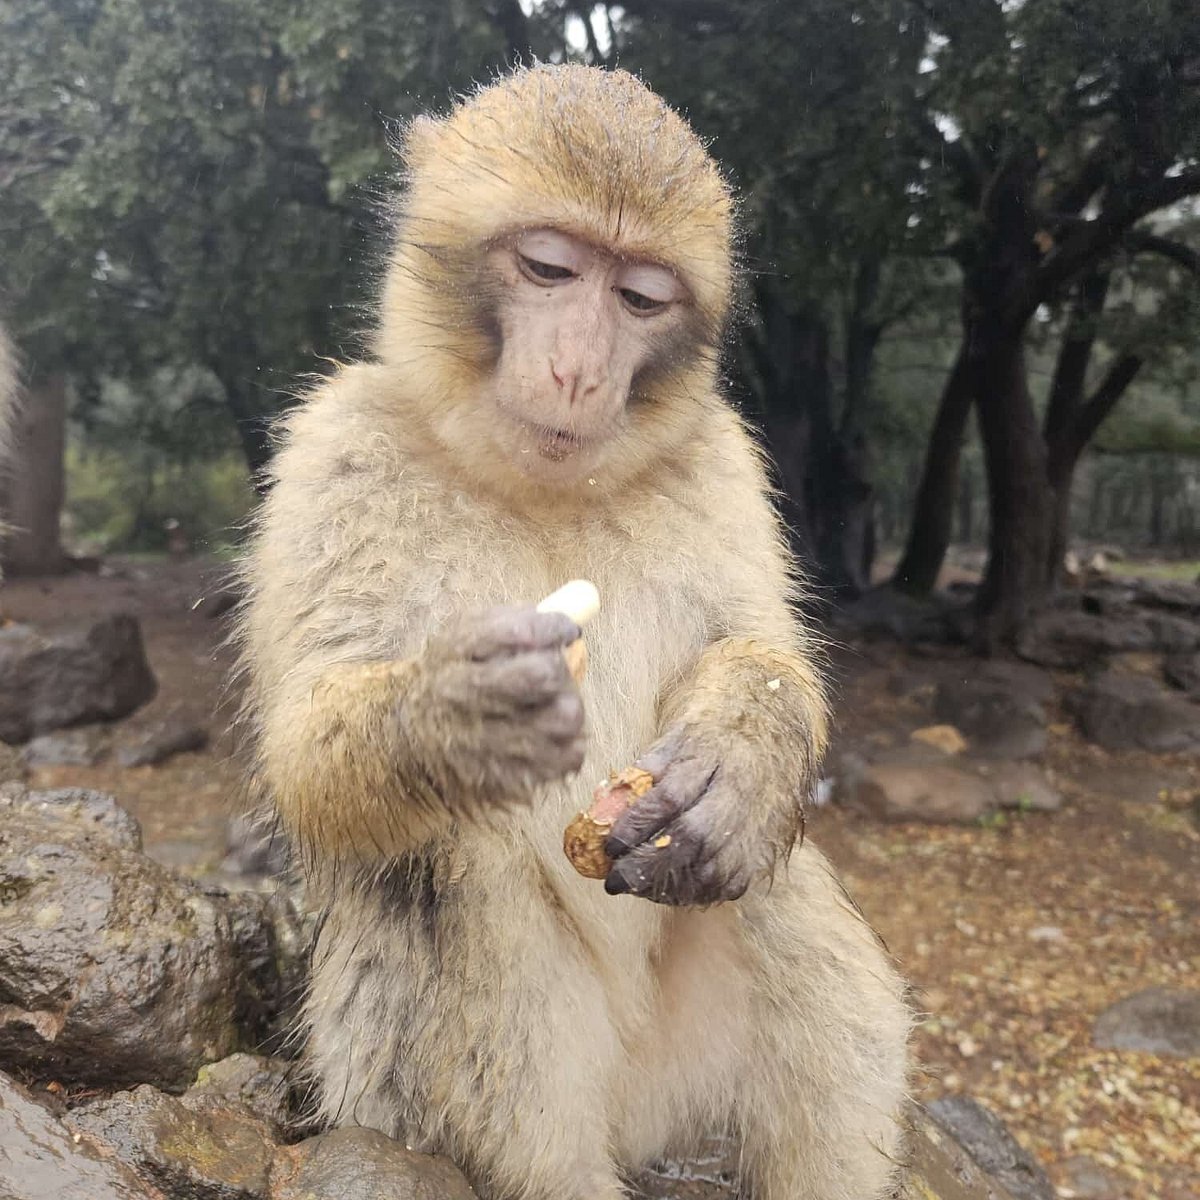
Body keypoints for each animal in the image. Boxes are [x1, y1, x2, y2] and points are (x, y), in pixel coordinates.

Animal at [238, 64, 910, 1200]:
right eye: (550, 268)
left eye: (640, 295)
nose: (578, 373)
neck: (541, 490)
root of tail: (630, 1129)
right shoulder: (336, 450)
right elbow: (306, 754)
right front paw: (447, 716)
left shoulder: (723, 459)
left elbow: (753, 649)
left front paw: (741, 751)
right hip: (383, 1084)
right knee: (459, 872)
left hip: (684, 1074)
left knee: (774, 891)